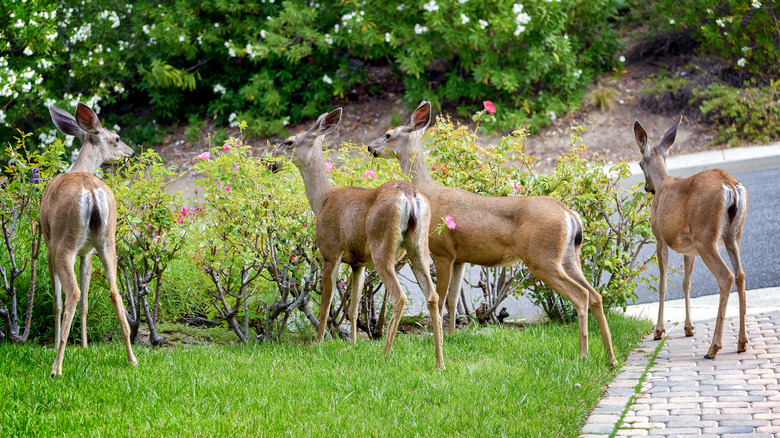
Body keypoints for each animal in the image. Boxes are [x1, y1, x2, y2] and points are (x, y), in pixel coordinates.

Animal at [42, 103, 138, 376]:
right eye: (117, 138)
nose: (131, 151)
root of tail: (92, 191)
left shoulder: (48, 243)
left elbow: (58, 299)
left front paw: (56, 344)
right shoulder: (87, 252)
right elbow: (86, 299)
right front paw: (84, 345)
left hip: (64, 243)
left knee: (72, 293)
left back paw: (56, 366)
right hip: (107, 242)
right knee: (114, 291)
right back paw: (132, 358)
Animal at [272, 108, 444, 370]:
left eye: (289, 142)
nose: (271, 163)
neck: (322, 200)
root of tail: (410, 195)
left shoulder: (330, 251)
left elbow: (325, 305)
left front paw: (318, 344)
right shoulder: (358, 263)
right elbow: (353, 307)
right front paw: (353, 344)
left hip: (382, 246)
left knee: (399, 297)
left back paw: (385, 356)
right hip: (419, 247)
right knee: (433, 296)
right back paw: (439, 362)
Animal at [368, 102, 620, 366]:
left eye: (388, 134)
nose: (370, 147)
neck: (429, 192)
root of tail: (570, 214)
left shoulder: (442, 251)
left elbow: (441, 297)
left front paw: (441, 339)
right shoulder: (460, 258)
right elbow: (453, 299)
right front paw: (451, 336)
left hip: (542, 257)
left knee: (581, 295)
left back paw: (583, 354)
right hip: (569, 256)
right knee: (596, 295)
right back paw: (610, 358)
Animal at [632, 117, 748, 360]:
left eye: (638, 164)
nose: (647, 188)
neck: (663, 182)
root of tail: (731, 187)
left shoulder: (660, 238)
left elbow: (663, 283)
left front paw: (658, 330)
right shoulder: (689, 249)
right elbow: (687, 283)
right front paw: (688, 327)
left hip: (706, 236)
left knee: (726, 276)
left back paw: (713, 348)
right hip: (734, 235)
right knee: (741, 275)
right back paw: (742, 342)